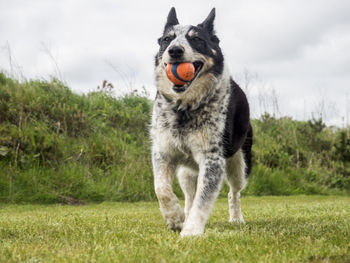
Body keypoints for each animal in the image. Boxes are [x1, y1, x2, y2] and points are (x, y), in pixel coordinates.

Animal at [150, 7, 252, 238]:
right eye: (167, 39)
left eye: (196, 39)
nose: (175, 50)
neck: (185, 107)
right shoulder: (163, 152)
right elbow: (161, 189)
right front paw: (175, 218)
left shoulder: (213, 159)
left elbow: (203, 200)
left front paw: (191, 231)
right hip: (186, 173)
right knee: (189, 195)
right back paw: (184, 214)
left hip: (239, 165)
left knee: (234, 192)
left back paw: (236, 218)